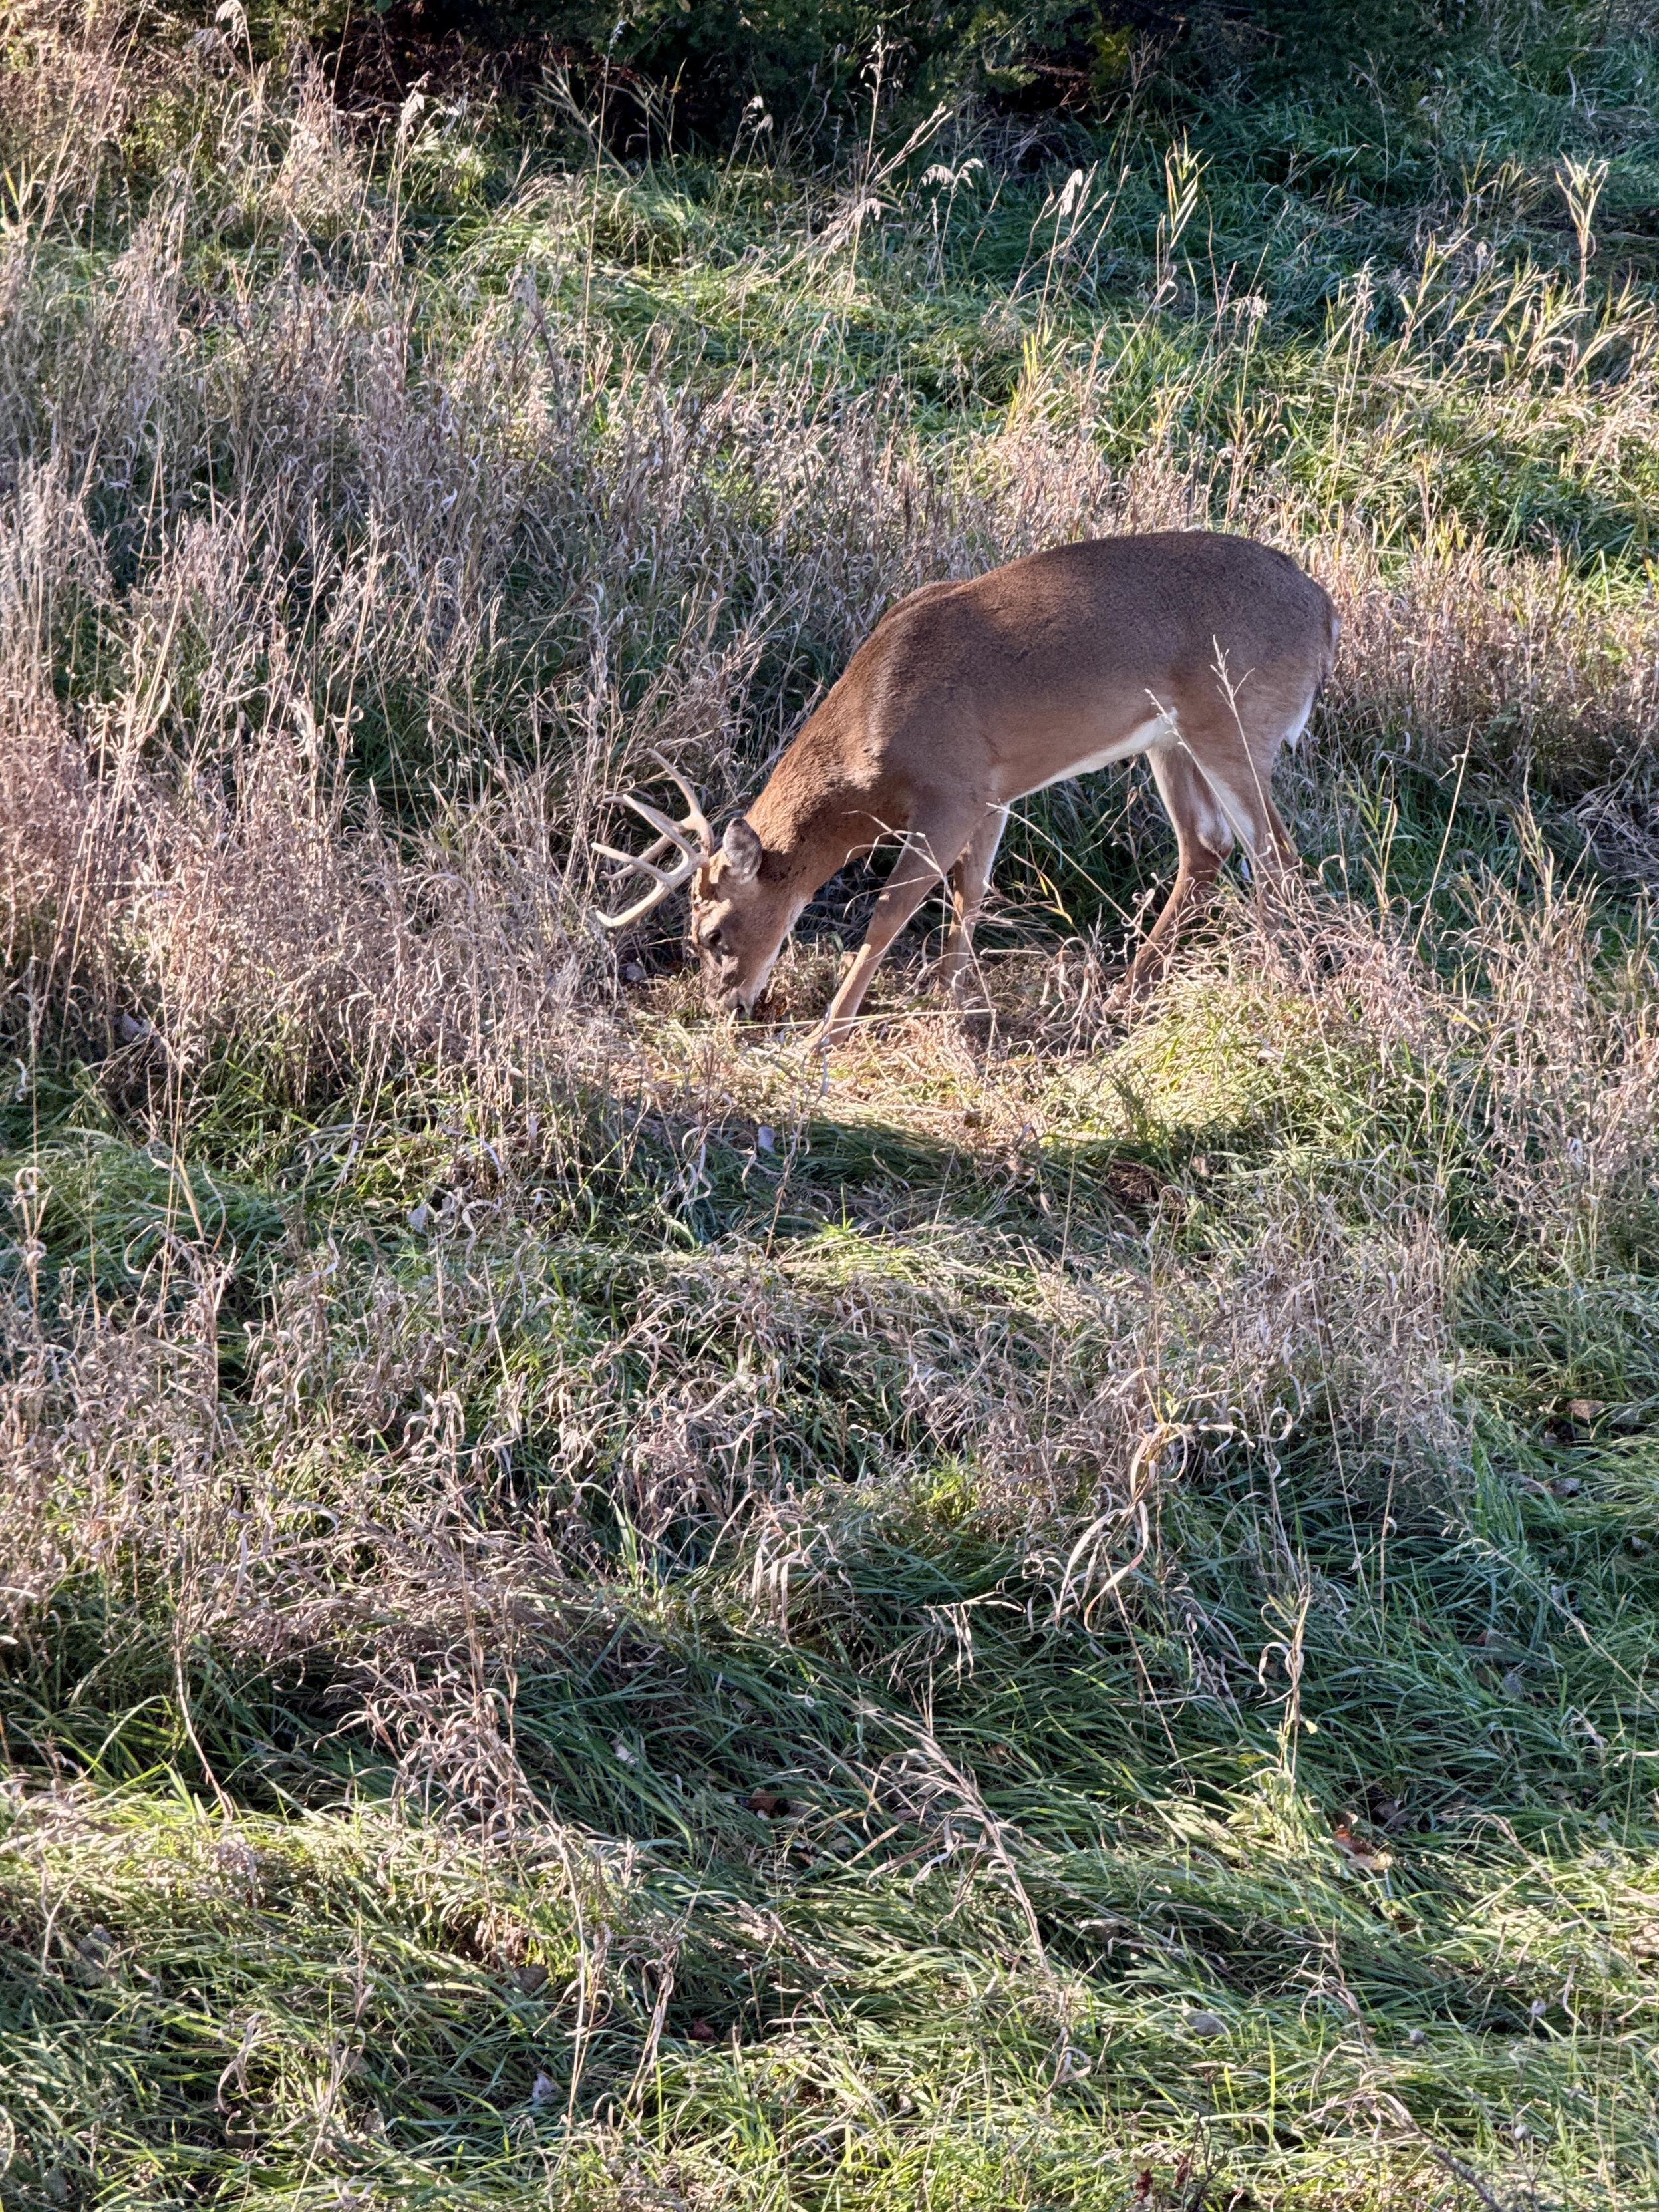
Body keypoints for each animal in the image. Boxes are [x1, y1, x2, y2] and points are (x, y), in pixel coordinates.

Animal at [593, 531, 1338, 1046]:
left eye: (713, 932)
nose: (728, 1004)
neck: (871, 740)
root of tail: (1324, 611)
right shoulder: (992, 792)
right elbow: (968, 893)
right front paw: (954, 1010)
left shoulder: (949, 794)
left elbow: (891, 911)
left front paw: (824, 1036)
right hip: (1169, 743)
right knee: (1207, 847)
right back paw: (1122, 997)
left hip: (1234, 721)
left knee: (1274, 852)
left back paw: (1285, 988)